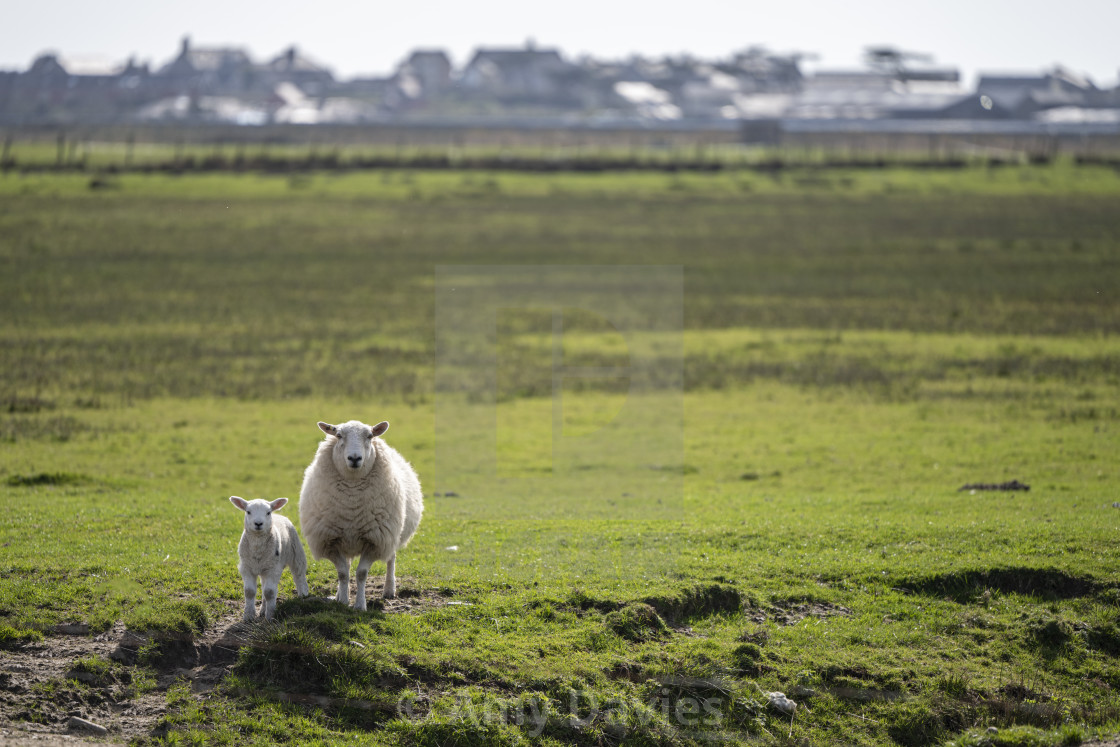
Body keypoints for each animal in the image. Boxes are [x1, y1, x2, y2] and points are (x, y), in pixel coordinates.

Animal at [227, 492, 309, 622]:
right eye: (248, 512)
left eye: (268, 512)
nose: (258, 523)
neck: (257, 547)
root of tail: (278, 514)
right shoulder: (246, 567)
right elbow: (250, 592)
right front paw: (248, 616)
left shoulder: (273, 569)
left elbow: (270, 592)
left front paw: (270, 616)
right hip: (264, 567)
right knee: (264, 586)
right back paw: (262, 610)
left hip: (296, 551)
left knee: (299, 574)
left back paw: (303, 595)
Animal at [297, 418, 423, 609]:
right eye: (338, 435)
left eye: (369, 436)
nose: (355, 458)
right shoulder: (330, 540)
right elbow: (343, 573)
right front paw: (343, 601)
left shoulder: (375, 540)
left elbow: (362, 573)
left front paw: (360, 606)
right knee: (347, 566)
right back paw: (340, 595)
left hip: (392, 534)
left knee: (391, 559)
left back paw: (389, 589)